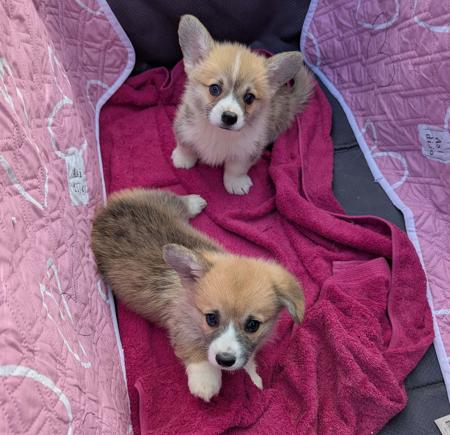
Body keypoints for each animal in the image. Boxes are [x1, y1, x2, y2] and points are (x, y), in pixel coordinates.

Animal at [91, 189, 304, 401]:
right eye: (211, 318)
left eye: (253, 325)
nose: (225, 360)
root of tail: (105, 210)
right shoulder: (181, 325)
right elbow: (194, 349)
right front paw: (206, 381)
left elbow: (249, 358)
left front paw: (254, 377)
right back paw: (194, 202)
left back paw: (194, 202)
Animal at [172, 15, 313, 195]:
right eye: (214, 89)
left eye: (249, 98)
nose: (229, 117)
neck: (219, 133)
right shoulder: (184, 127)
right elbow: (186, 145)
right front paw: (182, 159)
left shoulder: (247, 150)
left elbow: (236, 168)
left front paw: (236, 183)